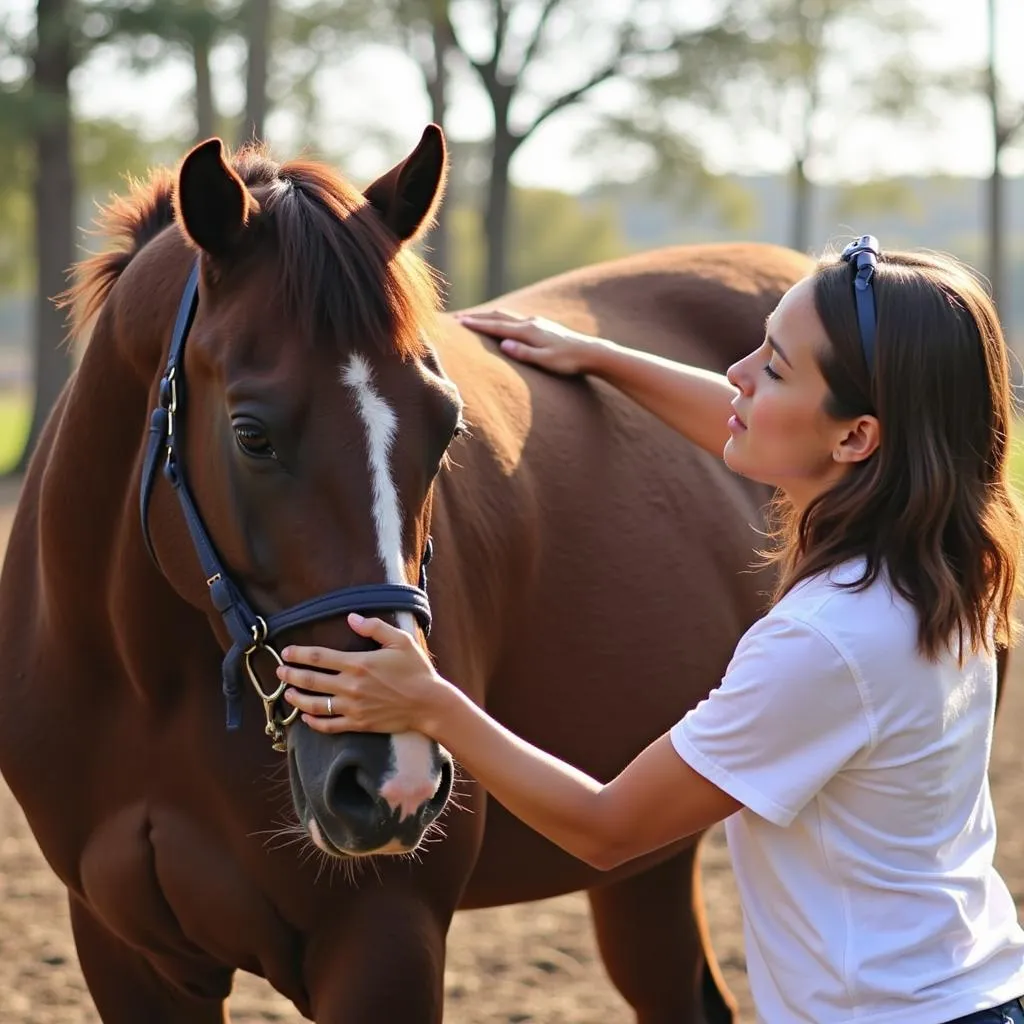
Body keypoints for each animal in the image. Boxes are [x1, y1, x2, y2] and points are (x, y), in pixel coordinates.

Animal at [0, 128, 815, 1024]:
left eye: (448, 425)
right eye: (251, 434)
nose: (392, 777)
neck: (150, 684)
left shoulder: (383, 937)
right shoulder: (127, 952)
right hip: (646, 865)